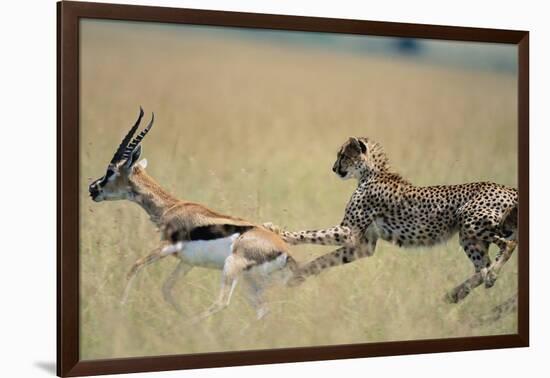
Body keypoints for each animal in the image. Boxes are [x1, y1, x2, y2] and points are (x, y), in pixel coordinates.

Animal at [266, 137, 520, 302]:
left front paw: (278, 231)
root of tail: (509, 188)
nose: (334, 168)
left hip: (472, 223)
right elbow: (324, 260)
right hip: (470, 237)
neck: (371, 173)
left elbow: (310, 233)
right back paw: (456, 293)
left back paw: (489, 276)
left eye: (343, 155)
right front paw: (297, 276)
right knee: (482, 267)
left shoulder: (349, 232)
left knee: (508, 245)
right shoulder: (363, 245)